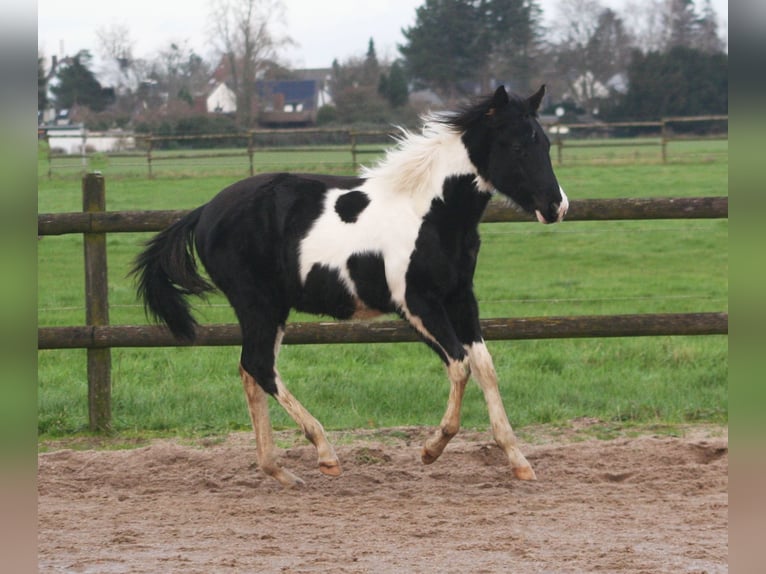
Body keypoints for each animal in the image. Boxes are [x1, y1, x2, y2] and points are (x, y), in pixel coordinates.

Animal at [130, 85, 568, 488]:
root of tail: (205, 211)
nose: (557, 206)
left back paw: (279, 471)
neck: (432, 211)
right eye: (517, 145)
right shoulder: (417, 304)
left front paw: (518, 460)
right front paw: (432, 448)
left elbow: (484, 367)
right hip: (257, 303)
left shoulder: (460, 298)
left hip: (270, 309)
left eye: (545, 143)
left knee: (251, 370)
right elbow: (460, 365)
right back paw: (324, 453)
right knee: (259, 366)